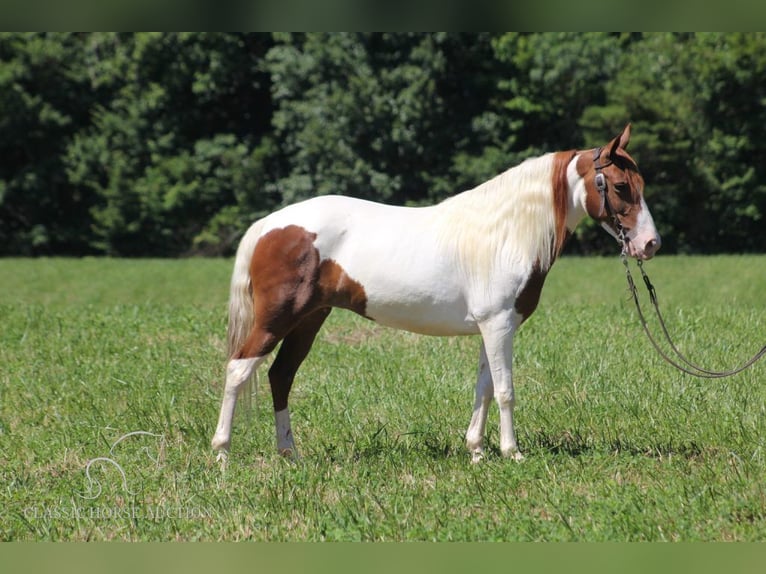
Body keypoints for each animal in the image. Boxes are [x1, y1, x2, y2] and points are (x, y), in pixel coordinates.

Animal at [208, 124, 660, 466]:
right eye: (621, 186)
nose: (650, 244)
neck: (505, 235)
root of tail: (268, 224)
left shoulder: (490, 328)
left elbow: (483, 388)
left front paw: (476, 451)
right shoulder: (499, 325)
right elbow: (505, 391)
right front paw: (512, 453)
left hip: (309, 320)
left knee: (280, 376)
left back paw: (290, 453)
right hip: (278, 318)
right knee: (238, 369)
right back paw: (222, 454)